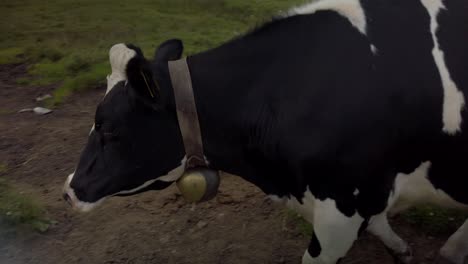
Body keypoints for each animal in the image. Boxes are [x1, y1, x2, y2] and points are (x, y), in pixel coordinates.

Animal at [63, 0, 468, 262]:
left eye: (109, 128)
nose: (69, 190)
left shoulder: (341, 205)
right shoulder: (360, 193)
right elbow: (381, 224)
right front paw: (401, 248)